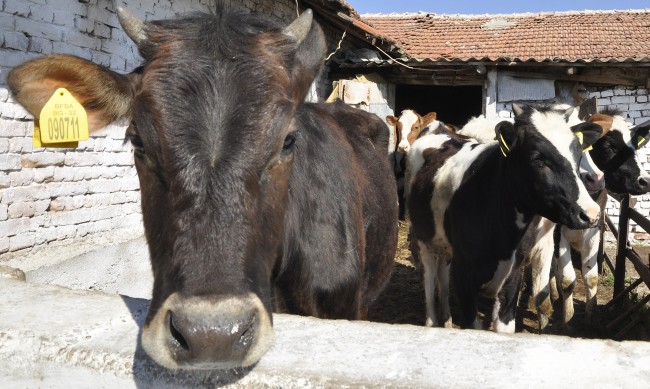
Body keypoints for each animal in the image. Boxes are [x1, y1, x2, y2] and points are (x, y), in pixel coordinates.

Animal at [408, 104, 600, 330]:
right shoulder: (464, 273)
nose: (591, 213)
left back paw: (446, 320)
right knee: (429, 278)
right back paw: (432, 321)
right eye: (537, 159)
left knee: (443, 276)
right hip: (424, 238)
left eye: (578, 156)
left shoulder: (515, 270)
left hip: (445, 245)